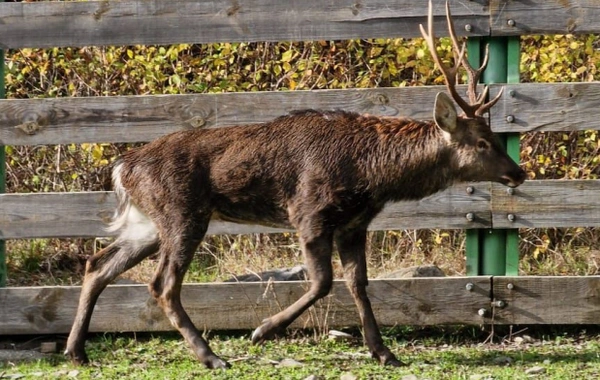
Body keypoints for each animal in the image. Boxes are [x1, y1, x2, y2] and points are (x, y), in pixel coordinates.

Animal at [64, 0, 524, 368]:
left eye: (495, 135)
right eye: (483, 142)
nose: (518, 173)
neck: (373, 177)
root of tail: (122, 168)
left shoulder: (355, 224)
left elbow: (359, 285)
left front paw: (384, 353)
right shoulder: (309, 211)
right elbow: (322, 282)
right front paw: (262, 330)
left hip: (148, 223)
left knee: (97, 265)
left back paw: (77, 351)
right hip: (182, 213)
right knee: (161, 285)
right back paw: (211, 356)